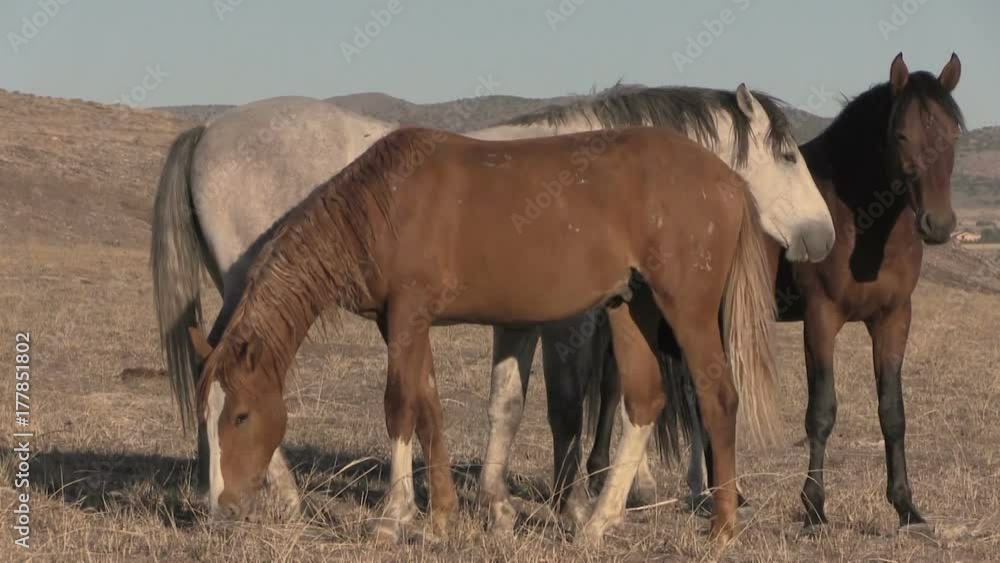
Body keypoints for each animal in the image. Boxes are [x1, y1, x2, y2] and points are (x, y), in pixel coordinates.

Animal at [151, 84, 835, 525]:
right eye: (789, 154)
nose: (823, 237)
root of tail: (207, 131)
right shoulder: (536, 321)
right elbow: (524, 406)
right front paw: (524, 506)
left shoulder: (507, 319)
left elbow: (502, 404)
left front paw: (483, 506)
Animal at [623, 53, 964, 535]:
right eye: (901, 135)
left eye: (953, 133)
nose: (938, 224)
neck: (859, 221)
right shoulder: (821, 318)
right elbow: (821, 412)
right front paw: (814, 507)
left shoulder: (894, 318)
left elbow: (892, 413)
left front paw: (906, 508)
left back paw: (720, 494)